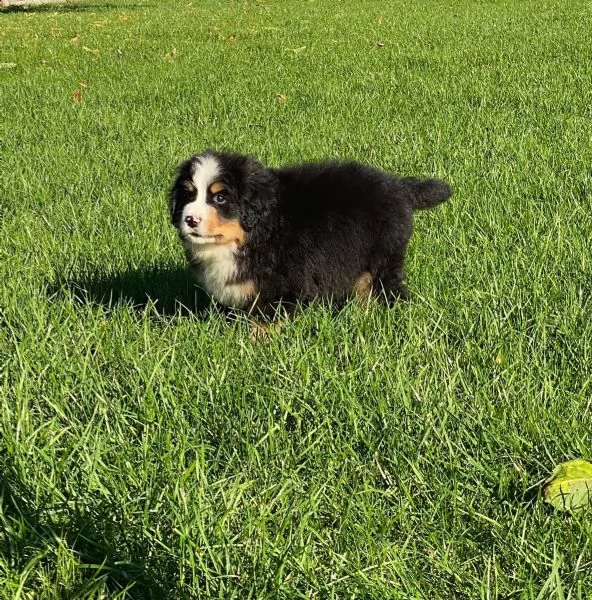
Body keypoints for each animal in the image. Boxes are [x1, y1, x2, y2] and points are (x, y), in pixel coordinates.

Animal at [171, 151, 454, 314]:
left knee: (388, 290)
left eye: (220, 198)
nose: (190, 219)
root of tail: (398, 185)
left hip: (382, 257)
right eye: (188, 194)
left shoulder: (282, 286)